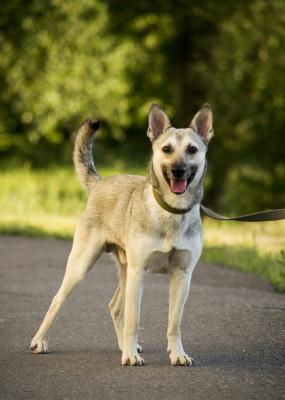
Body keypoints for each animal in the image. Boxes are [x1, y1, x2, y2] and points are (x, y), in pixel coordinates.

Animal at [31, 102, 213, 366]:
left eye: (192, 149)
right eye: (167, 149)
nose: (178, 171)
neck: (170, 211)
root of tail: (100, 182)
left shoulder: (182, 276)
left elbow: (174, 323)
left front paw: (177, 354)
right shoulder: (139, 273)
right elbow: (133, 320)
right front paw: (130, 356)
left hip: (126, 272)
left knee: (115, 306)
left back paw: (127, 346)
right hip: (82, 265)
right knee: (58, 300)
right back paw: (40, 341)